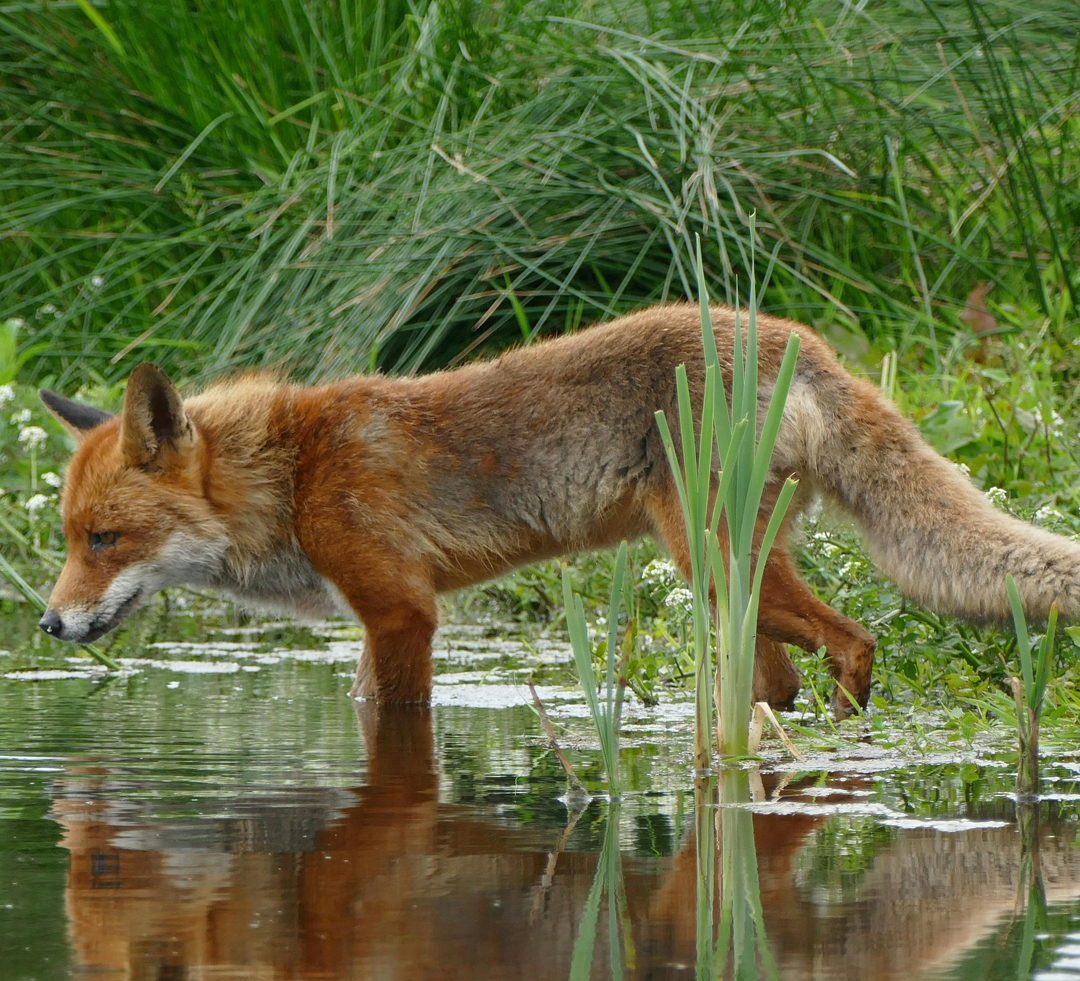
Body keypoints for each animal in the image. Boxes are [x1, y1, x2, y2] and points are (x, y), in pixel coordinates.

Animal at [38, 302, 1075, 717]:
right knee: (778, 681)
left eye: (107, 539)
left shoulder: (402, 612)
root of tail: (799, 338)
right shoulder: (384, 617)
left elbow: (390, 715)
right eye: (69, 540)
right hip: (733, 581)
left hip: (714, 563)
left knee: (858, 639)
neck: (292, 475)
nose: (47, 624)